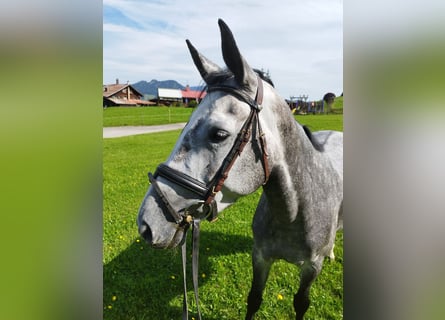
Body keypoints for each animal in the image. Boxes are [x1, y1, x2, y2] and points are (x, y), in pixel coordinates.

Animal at [137, 20, 342, 320]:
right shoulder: (260, 257)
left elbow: (300, 304)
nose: (146, 225)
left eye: (218, 134)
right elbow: (254, 299)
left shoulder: (311, 268)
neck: (294, 211)